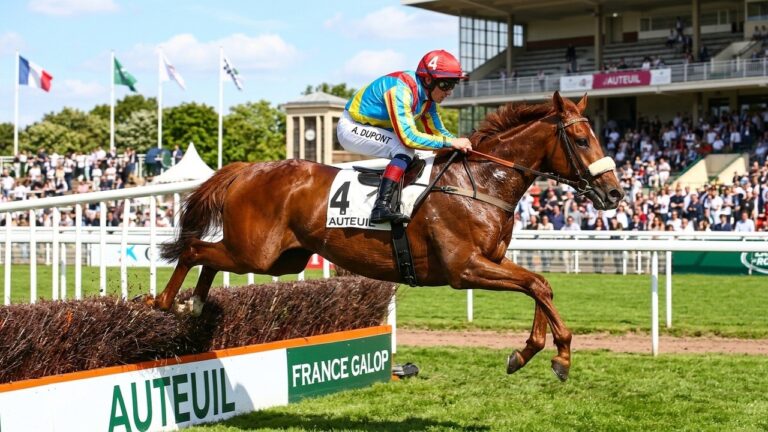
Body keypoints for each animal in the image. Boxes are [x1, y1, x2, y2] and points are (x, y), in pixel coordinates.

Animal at [151, 91, 623, 381]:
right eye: (582, 139)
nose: (615, 192)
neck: (480, 183)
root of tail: (246, 168)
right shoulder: (464, 269)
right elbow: (536, 285)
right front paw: (561, 355)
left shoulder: (490, 260)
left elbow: (540, 285)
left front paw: (530, 352)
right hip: (254, 251)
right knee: (193, 249)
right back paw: (165, 302)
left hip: (281, 258)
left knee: (207, 257)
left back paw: (194, 305)